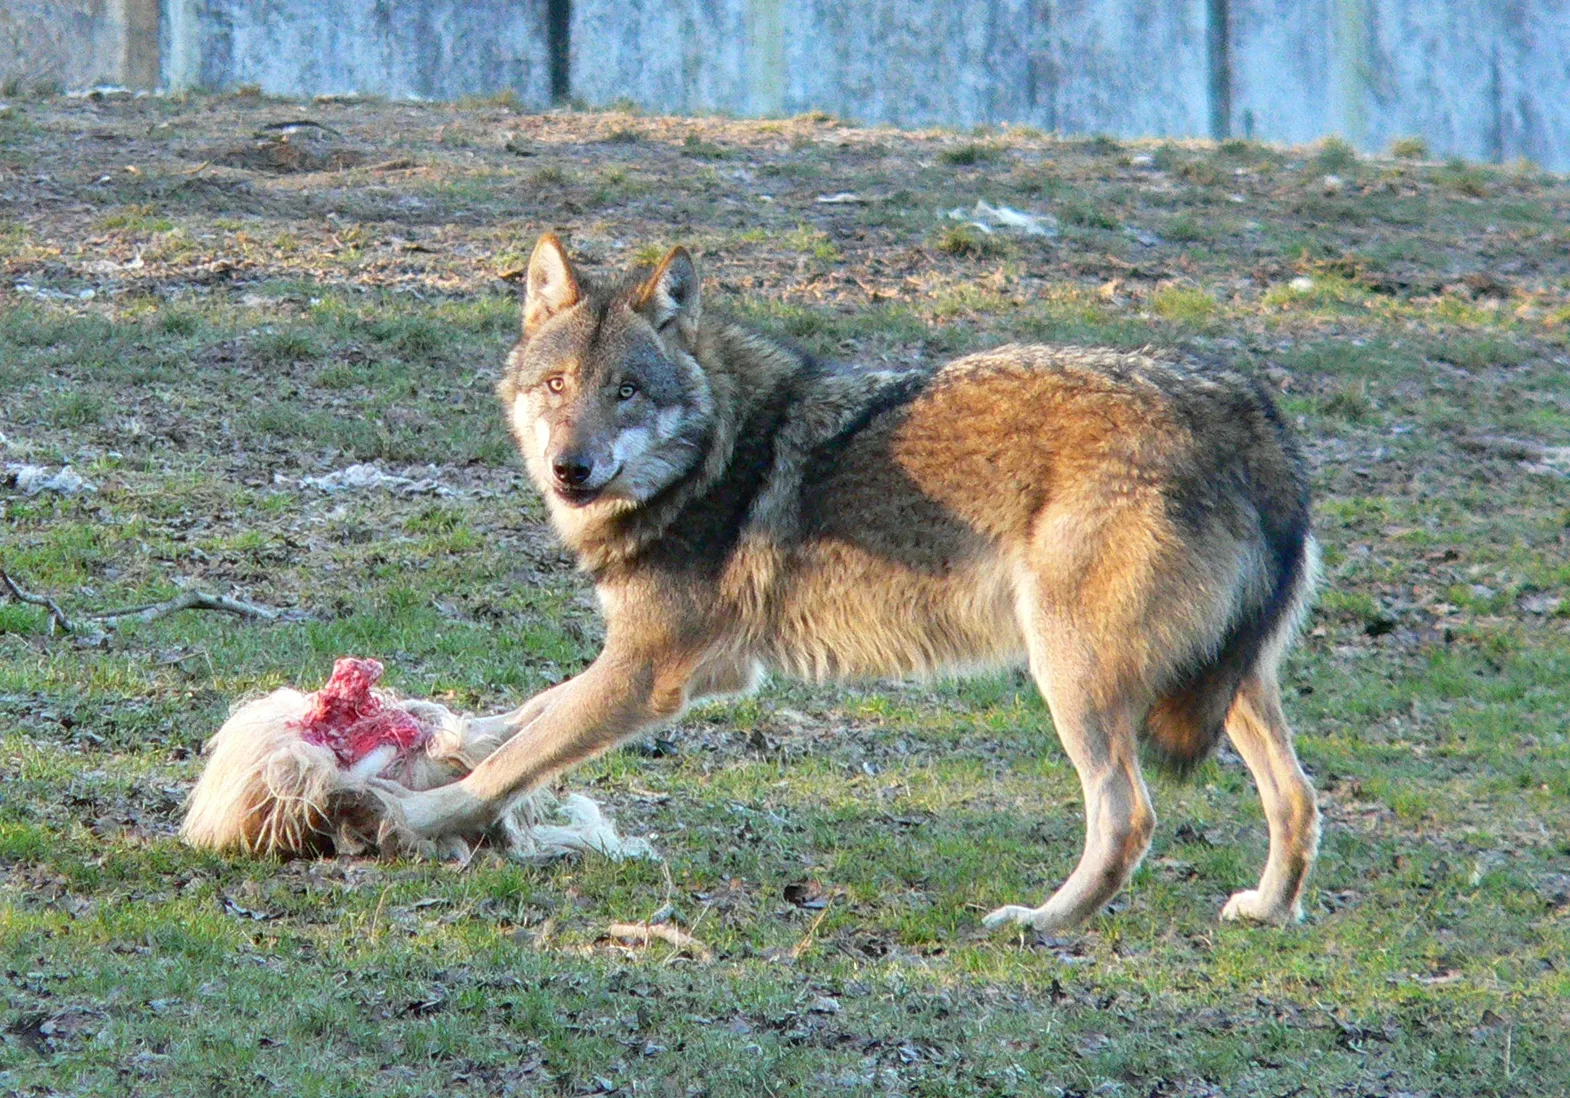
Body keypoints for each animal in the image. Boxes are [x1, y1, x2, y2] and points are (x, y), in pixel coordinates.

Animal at [373, 235, 1318, 929]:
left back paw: (1042, 922)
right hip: (1224, 684)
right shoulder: (693, 667)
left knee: (1128, 817)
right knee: (1298, 797)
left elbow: (521, 758)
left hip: (1073, 677)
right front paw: (453, 736)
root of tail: (1251, 413)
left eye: (628, 392)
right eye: (557, 384)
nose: (571, 468)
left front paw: (408, 814)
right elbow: (530, 715)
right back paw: (1266, 910)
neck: (714, 459)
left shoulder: (650, 673)